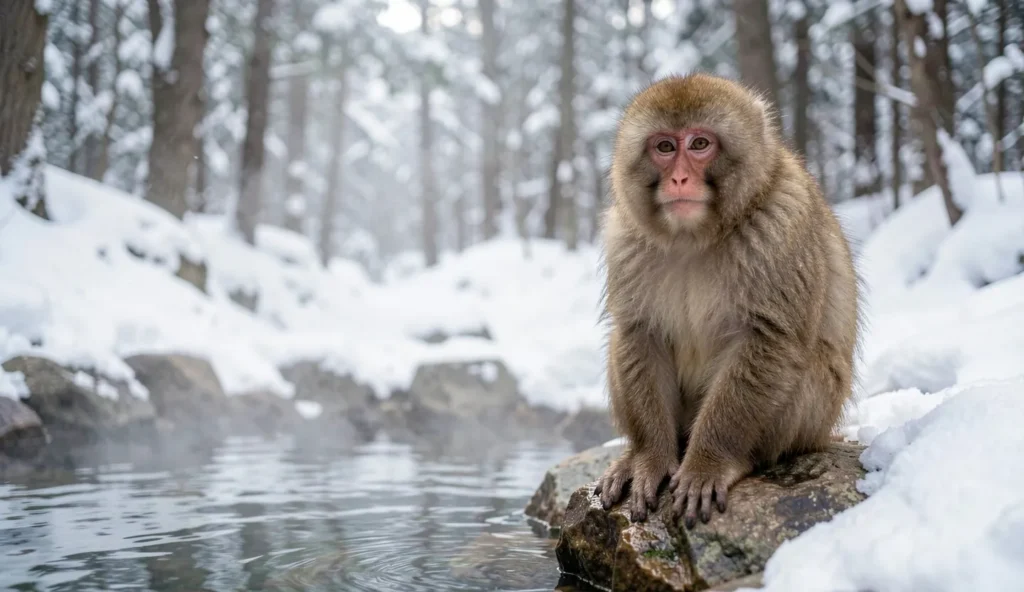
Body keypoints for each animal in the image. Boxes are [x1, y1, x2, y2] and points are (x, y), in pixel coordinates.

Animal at [592, 73, 859, 529]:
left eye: (700, 144)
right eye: (665, 147)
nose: (680, 179)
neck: (696, 237)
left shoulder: (780, 225)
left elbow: (769, 341)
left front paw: (709, 463)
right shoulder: (624, 239)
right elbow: (639, 336)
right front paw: (650, 459)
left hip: (811, 420)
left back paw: (743, 459)